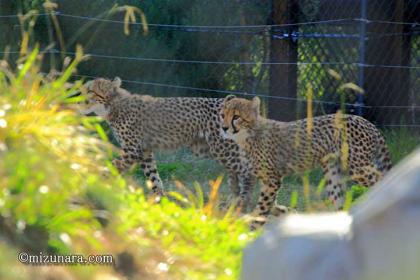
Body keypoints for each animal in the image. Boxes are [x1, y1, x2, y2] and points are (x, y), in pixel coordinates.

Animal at [81, 77, 254, 209]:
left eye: (90, 90)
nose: (78, 98)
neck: (113, 105)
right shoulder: (144, 151)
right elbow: (154, 178)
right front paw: (160, 202)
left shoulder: (132, 150)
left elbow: (109, 167)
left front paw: (90, 182)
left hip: (223, 150)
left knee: (248, 173)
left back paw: (243, 204)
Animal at [221, 95, 392, 228]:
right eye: (223, 115)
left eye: (236, 117)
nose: (223, 128)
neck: (247, 135)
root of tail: (365, 121)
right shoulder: (262, 179)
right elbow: (267, 203)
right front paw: (287, 211)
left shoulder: (271, 179)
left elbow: (263, 206)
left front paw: (252, 227)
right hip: (333, 174)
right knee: (339, 201)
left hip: (359, 169)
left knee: (383, 180)